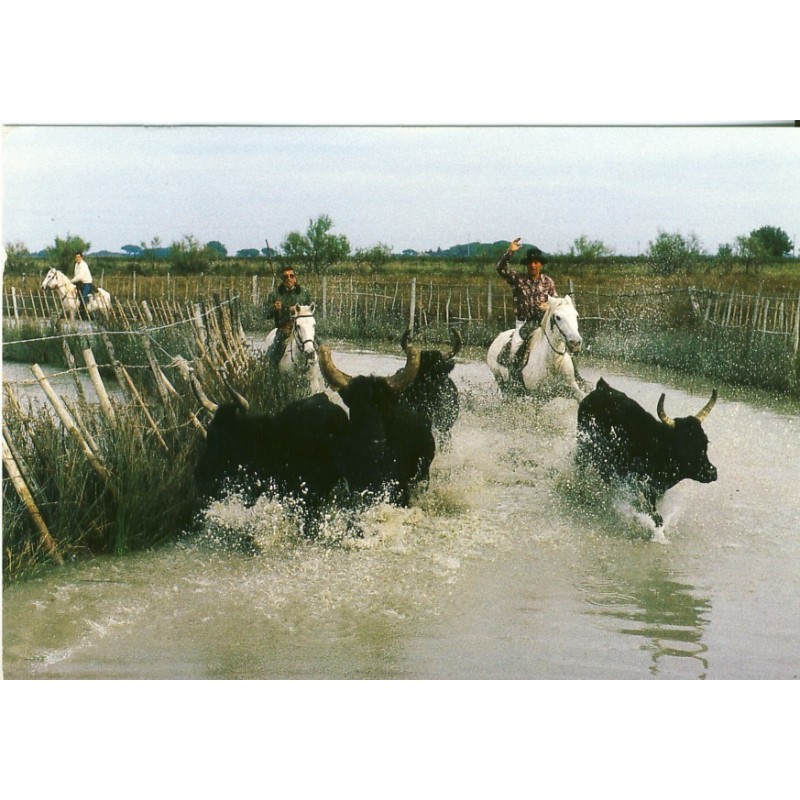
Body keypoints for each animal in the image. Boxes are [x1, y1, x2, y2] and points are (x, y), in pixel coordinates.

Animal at [576, 378, 720, 528]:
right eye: (685, 448)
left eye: (705, 442)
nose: (711, 472)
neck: (656, 447)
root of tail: (601, 388)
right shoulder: (641, 485)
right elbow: (654, 515)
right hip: (583, 444)